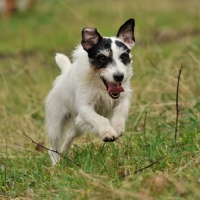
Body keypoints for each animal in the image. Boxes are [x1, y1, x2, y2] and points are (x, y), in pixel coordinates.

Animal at [45, 18, 136, 165]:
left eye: (124, 56)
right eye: (102, 58)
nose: (119, 76)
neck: (100, 85)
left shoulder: (123, 98)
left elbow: (120, 110)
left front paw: (117, 127)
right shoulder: (85, 107)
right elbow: (100, 119)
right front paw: (108, 133)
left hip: (79, 125)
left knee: (70, 134)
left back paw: (64, 152)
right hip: (55, 126)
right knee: (53, 148)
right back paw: (56, 164)